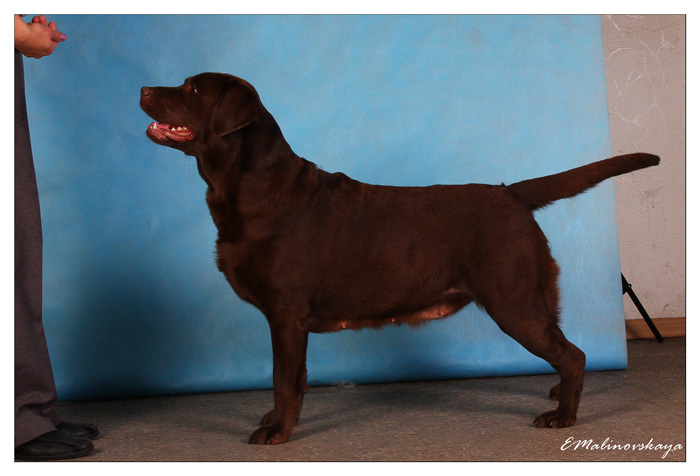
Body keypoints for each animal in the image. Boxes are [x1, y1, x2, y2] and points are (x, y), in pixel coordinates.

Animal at [140, 72, 660, 444]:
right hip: (533, 296)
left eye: (191, 89)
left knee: (573, 355)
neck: (248, 188)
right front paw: (278, 420)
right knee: (565, 351)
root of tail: (510, 193)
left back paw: (562, 416)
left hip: (514, 301)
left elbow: (283, 377)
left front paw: (276, 431)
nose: (143, 88)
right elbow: (297, 378)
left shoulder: (286, 314)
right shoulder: (290, 321)